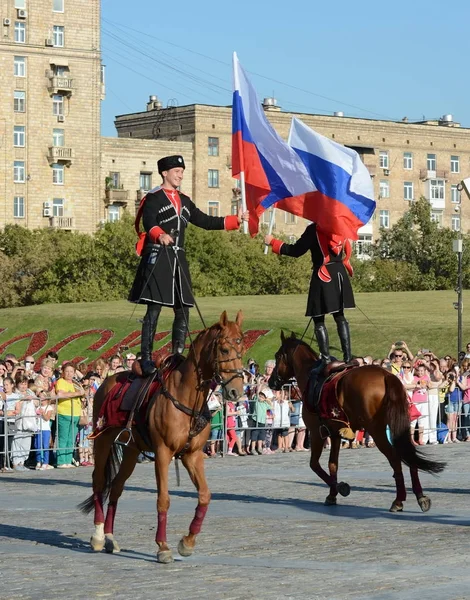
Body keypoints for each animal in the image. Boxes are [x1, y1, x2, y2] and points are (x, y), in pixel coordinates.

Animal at [78, 312, 244, 564]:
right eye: (224, 350)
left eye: (241, 347)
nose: (237, 391)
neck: (186, 396)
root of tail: (108, 381)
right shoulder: (163, 453)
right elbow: (163, 499)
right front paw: (163, 547)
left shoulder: (192, 455)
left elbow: (205, 495)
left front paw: (187, 542)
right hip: (103, 441)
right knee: (98, 481)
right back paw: (97, 535)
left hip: (131, 451)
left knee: (116, 487)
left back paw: (109, 537)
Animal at [270, 332, 446, 510]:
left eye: (277, 356)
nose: (272, 381)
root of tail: (387, 375)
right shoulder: (335, 433)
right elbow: (332, 464)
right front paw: (332, 495)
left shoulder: (316, 432)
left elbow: (314, 465)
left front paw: (340, 487)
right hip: (398, 426)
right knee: (408, 455)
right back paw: (420, 496)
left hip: (377, 430)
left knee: (396, 457)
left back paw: (398, 500)